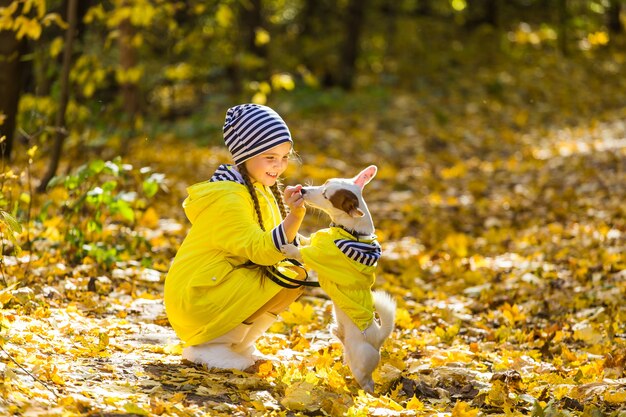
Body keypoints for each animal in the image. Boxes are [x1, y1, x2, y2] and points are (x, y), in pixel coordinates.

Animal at [286, 164, 392, 392]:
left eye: (326, 196)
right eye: (324, 184)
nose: (302, 191)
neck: (350, 232)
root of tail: (378, 339)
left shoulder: (319, 256)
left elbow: (301, 252)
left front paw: (288, 247)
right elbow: (307, 240)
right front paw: (297, 235)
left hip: (361, 365)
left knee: (368, 384)